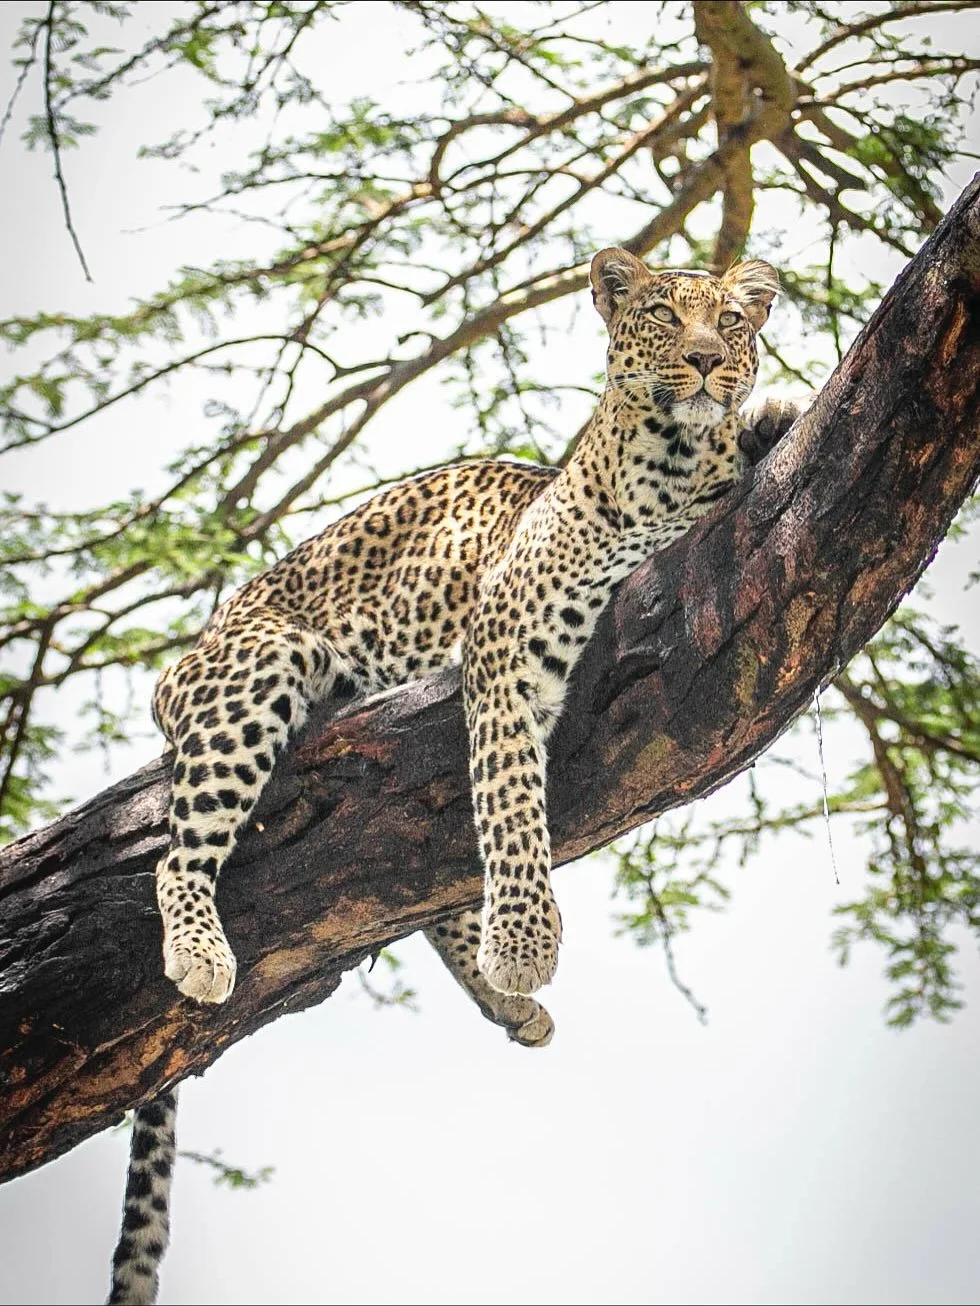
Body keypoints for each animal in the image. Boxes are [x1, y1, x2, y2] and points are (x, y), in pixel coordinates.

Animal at [108, 246, 802, 1304]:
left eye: (729, 319)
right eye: (661, 313)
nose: (706, 361)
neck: (670, 468)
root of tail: (190, 652)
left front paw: (767, 423)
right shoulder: (509, 634)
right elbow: (510, 801)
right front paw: (524, 942)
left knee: (425, 904)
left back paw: (505, 1005)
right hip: (258, 668)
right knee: (178, 854)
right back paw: (204, 950)